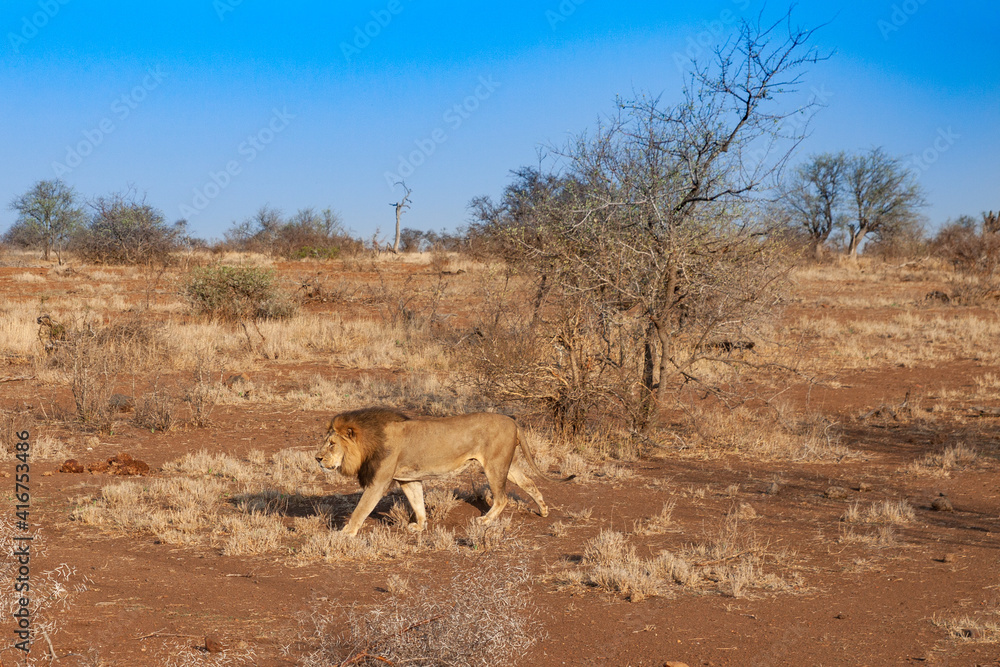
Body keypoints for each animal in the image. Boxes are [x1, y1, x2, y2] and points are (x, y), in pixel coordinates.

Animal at [316, 407, 551, 536]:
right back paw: (544, 510)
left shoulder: (379, 482)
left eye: (331, 444)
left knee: (502, 498)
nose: (317, 458)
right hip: (505, 464)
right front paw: (420, 527)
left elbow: (361, 508)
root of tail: (512, 421)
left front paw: (347, 532)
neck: (370, 442)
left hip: (494, 466)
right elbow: (417, 503)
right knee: (528, 482)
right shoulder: (408, 479)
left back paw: (484, 521)